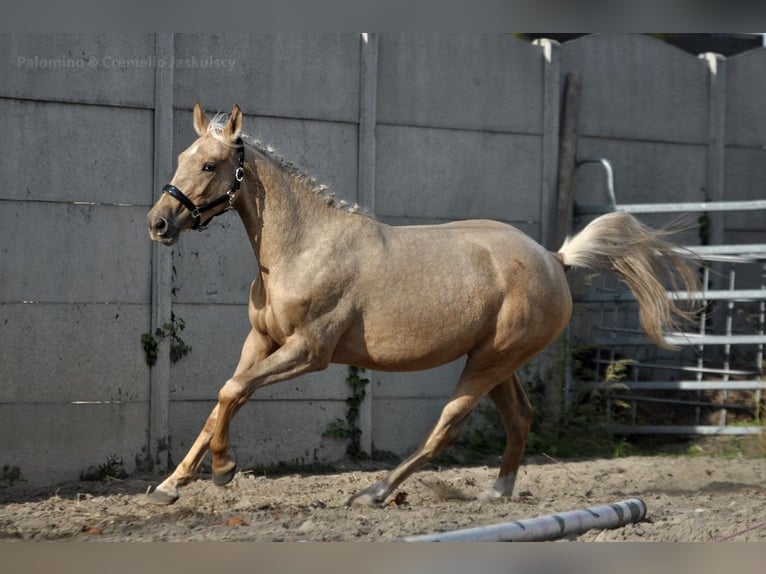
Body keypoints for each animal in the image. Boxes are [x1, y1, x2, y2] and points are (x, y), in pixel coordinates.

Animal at [146, 103, 704, 508]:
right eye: (180, 157)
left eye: (210, 164)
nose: (159, 223)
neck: (303, 247)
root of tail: (555, 258)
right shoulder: (261, 340)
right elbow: (224, 397)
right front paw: (171, 485)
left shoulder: (309, 351)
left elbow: (232, 391)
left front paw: (223, 471)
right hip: (497, 361)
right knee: (520, 418)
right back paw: (496, 493)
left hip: (489, 361)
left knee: (448, 427)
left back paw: (374, 492)